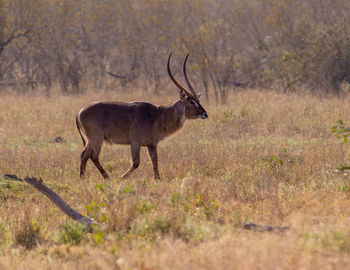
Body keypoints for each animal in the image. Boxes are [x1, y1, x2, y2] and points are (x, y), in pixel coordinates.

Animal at [76, 52, 208, 179]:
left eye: (198, 100)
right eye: (191, 102)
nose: (205, 114)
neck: (157, 115)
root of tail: (80, 112)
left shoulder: (152, 144)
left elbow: (155, 163)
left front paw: (157, 180)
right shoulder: (135, 142)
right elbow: (136, 163)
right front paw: (122, 177)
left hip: (91, 140)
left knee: (84, 155)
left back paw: (83, 178)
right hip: (96, 138)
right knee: (93, 156)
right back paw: (107, 177)